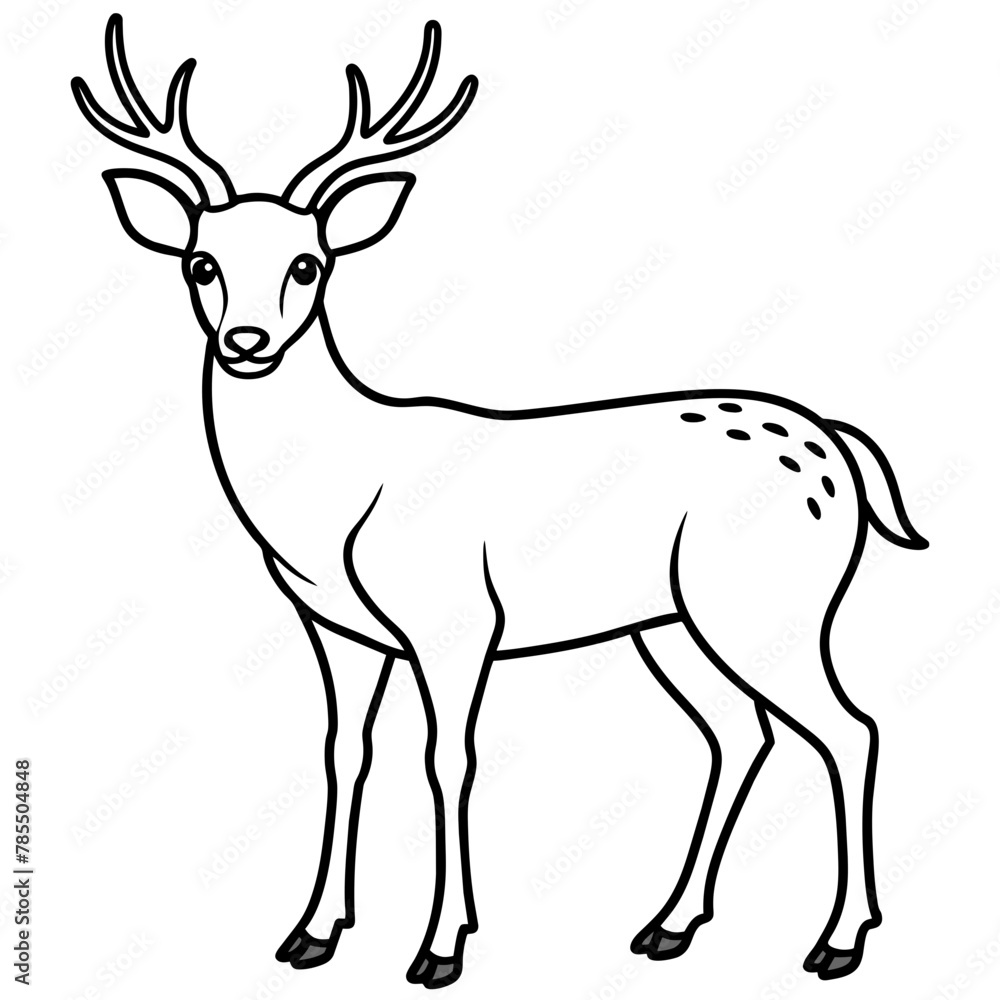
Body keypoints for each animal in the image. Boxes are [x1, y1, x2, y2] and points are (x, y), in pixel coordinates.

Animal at [73, 14, 927, 989]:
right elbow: (343, 755)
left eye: (309, 264)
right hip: (670, 621)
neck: (332, 510)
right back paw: (669, 925)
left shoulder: (456, 621)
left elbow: (450, 760)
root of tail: (838, 447)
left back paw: (839, 941)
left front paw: (442, 945)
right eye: (200, 262)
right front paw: (313, 932)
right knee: (742, 733)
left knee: (850, 729)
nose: (247, 342)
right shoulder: (333, 626)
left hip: (771, 600)